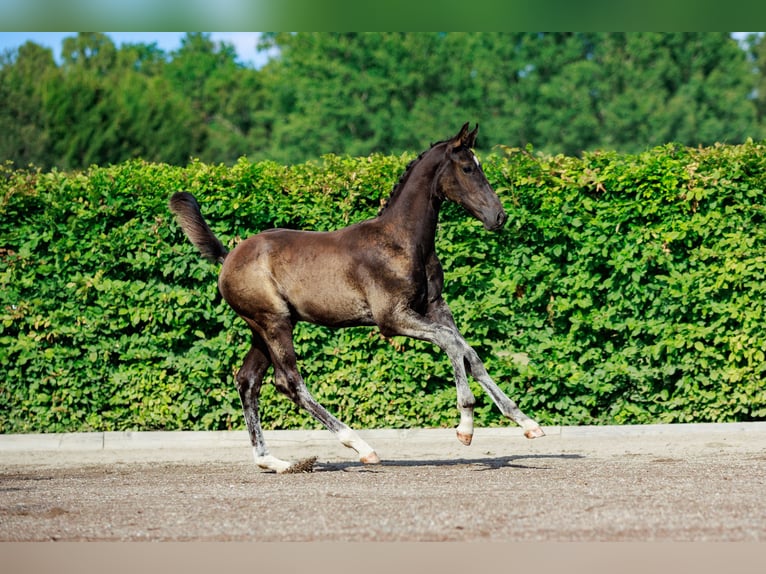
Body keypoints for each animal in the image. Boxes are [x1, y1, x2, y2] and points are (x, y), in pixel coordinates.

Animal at [172, 124, 544, 474]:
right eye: (467, 167)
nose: (499, 216)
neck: (402, 241)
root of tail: (228, 257)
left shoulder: (435, 307)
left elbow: (469, 353)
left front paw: (526, 423)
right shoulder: (392, 319)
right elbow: (451, 344)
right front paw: (465, 426)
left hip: (263, 328)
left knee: (248, 381)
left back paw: (274, 462)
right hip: (273, 323)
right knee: (288, 381)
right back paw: (360, 446)